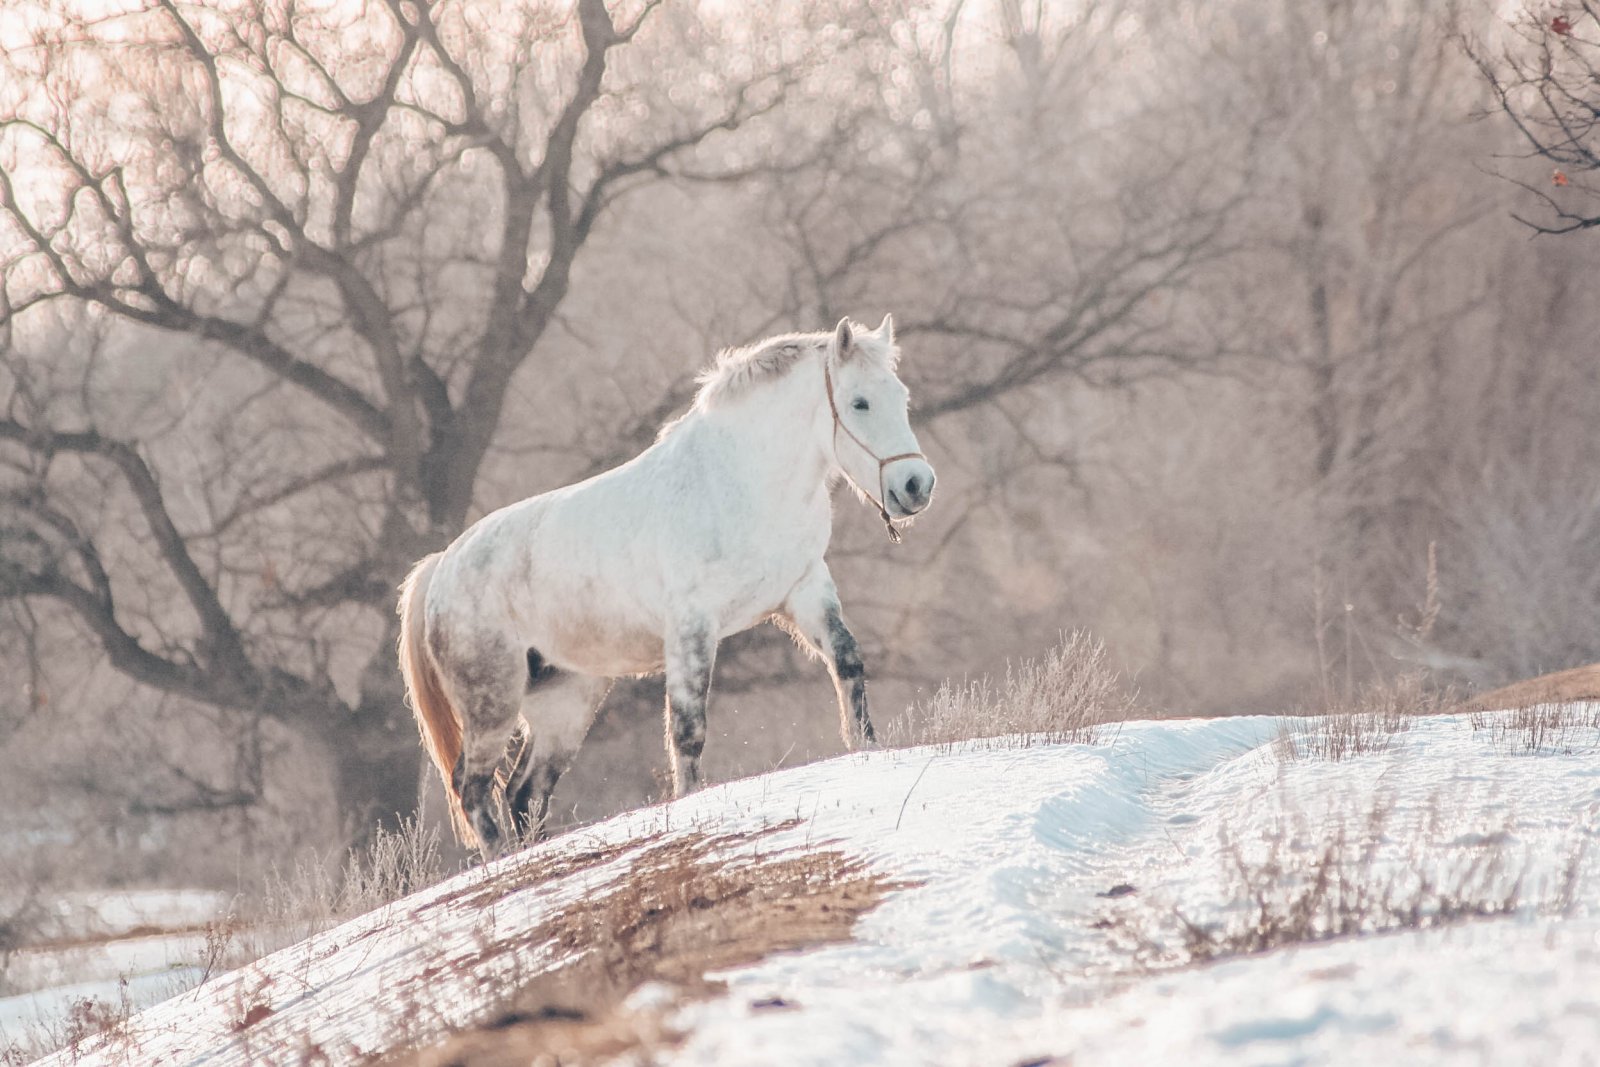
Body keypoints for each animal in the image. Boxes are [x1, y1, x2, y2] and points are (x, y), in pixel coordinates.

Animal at [392, 313, 934, 857]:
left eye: (901, 395)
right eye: (859, 402)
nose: (916, 485)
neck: (740, 482)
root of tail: (442, 568)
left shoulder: (803, 592)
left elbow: (847, 663)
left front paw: (867, 750)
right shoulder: (693, 627)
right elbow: (688, 730)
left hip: (567, 701)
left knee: (525, 792)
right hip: (493, 705)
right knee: (473, 788)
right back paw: (503, 862)